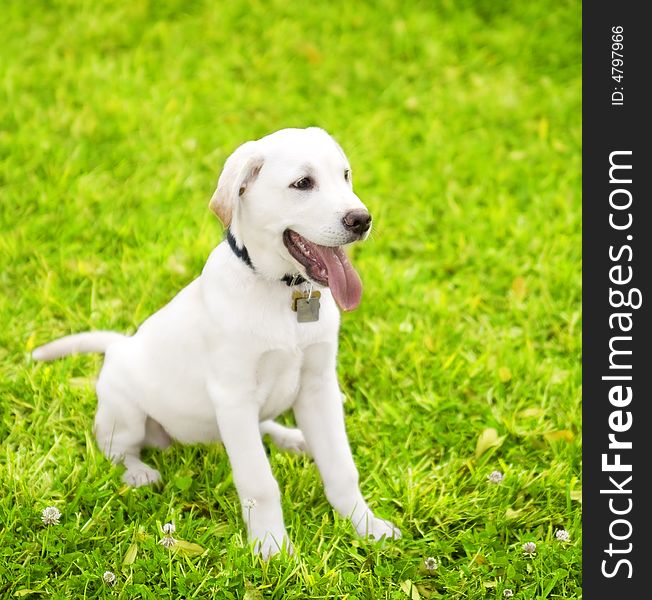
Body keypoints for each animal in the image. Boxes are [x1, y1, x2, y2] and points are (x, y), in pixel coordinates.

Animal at [33, 126, 400, 556]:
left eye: (345, 176)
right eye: (303, 183)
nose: (362, 220)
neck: (284, 293)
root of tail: (121, 345)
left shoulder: (319, 385)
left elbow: (342, 467)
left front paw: (366, 526)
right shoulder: (234, 395)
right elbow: (260, 481)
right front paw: (272, 549)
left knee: (263, 425)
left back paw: (292, 438)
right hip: (125, 412)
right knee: (116, 449)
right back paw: (139, 472)